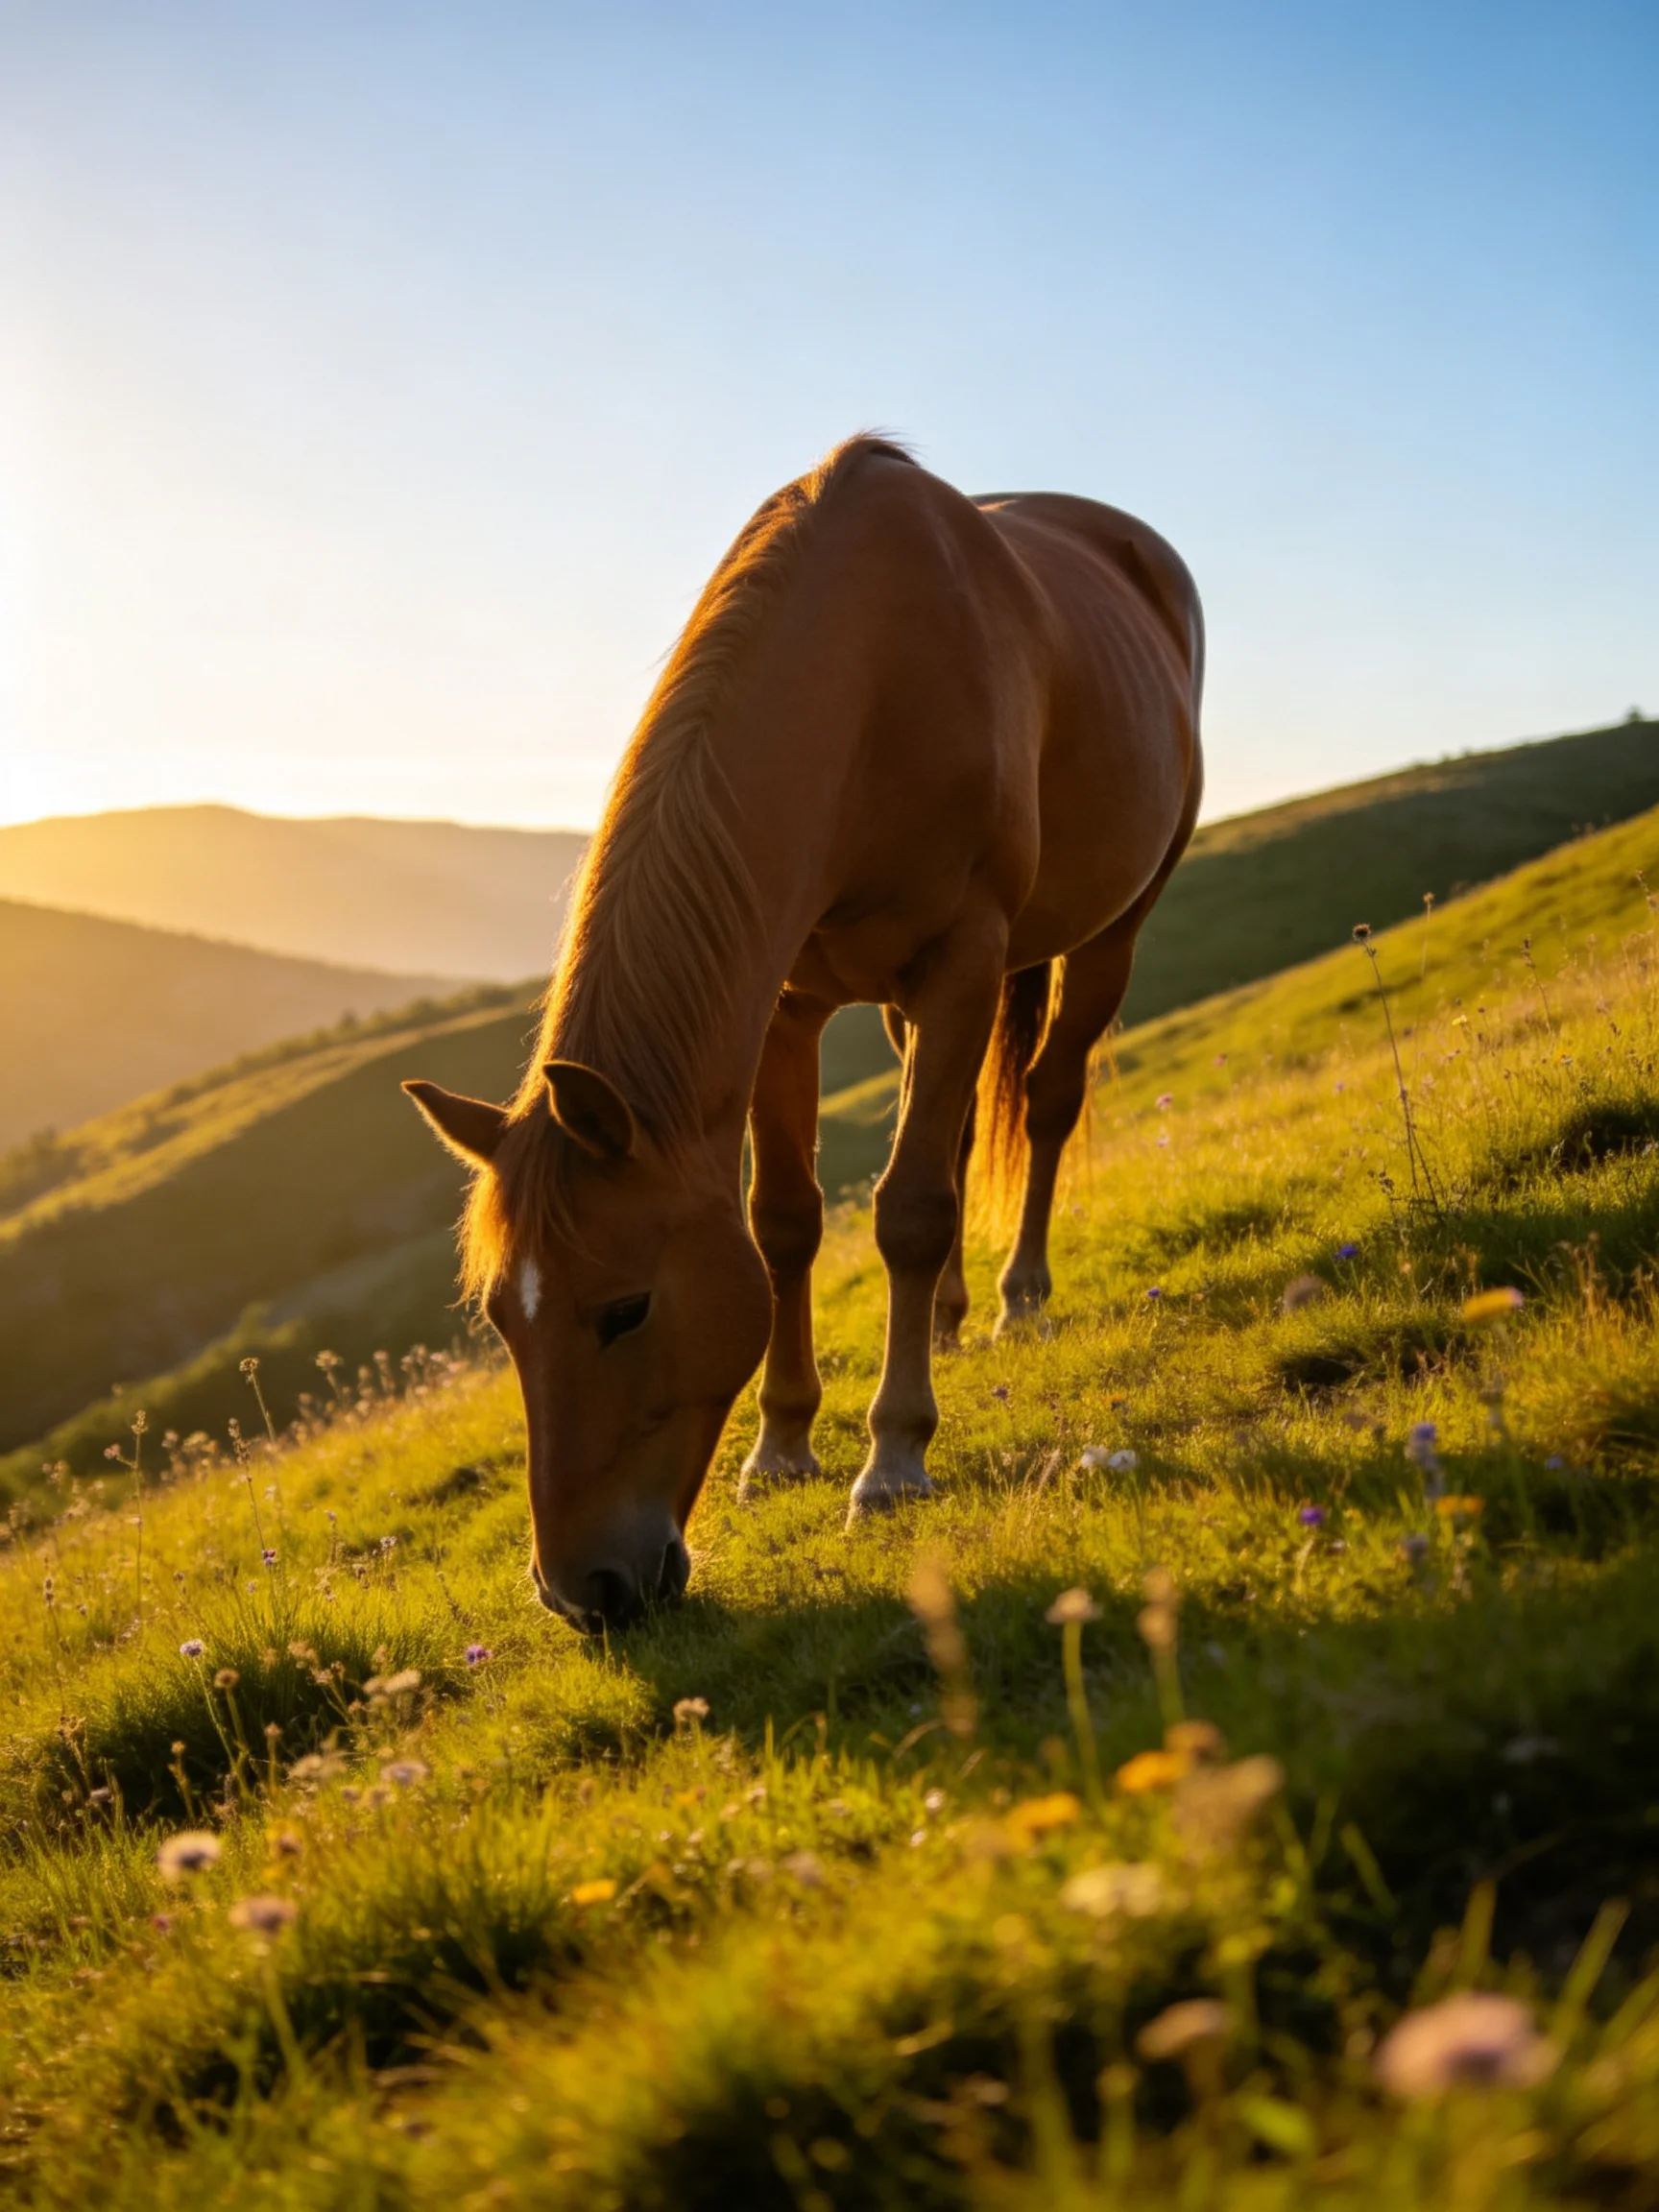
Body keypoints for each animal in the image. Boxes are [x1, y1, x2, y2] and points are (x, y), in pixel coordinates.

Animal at [405, 435, 1203, 1633]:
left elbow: (910, 1211)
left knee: (1047, 1102)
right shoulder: (787, 1005)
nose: (582, 1594)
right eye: (502, 1319)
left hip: (1112, 929)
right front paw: (780, 1448)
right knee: (956, 1132)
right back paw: (952, 1318)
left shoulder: (962, 962)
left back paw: (1018, 1301)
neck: (871, 691)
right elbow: (785, 1223)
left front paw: (893, 1460)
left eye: (625, 1310)